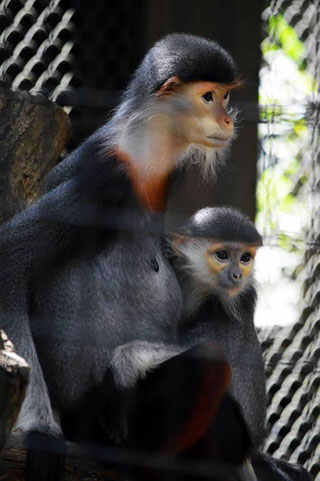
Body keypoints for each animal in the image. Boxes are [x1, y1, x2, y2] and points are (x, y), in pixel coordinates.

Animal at [0, 34, 239, 480]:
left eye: (227, 96)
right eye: (209, 97)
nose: (229, 120)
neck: (142, 156)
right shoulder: (102, 182)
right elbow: (9, 262)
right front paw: (40, 430)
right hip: (97, 424)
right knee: (211, 364)